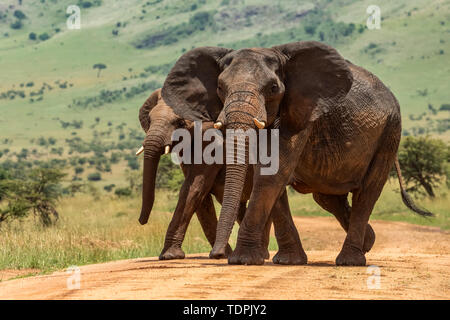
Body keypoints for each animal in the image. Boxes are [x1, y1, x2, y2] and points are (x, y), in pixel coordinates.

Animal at [162, 41, 432, 266]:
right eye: (219, 87)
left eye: (273, 88)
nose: (217, 254)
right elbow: (272, 177)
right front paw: (287, 261)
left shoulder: (302, 112)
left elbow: (273, 174)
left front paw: (242, 261)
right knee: (328, 198)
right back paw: (369, 241)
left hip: (390, 132)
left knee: (367, 192)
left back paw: (350, 261)